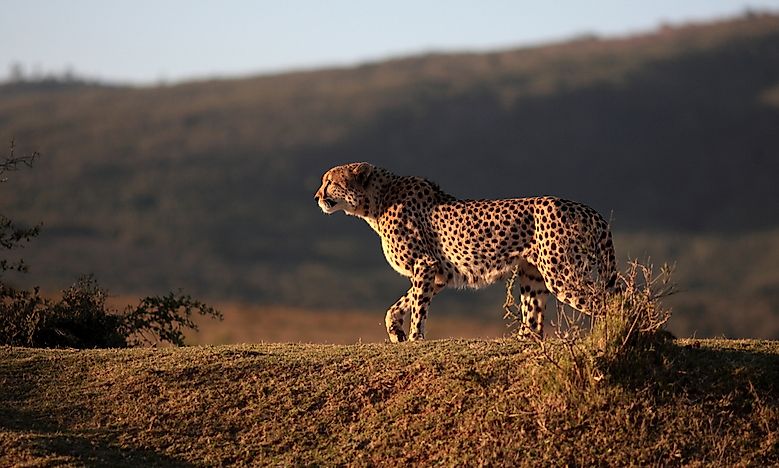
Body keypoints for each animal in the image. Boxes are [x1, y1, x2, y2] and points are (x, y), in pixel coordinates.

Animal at [314, 163, 620, 342]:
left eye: (330, 182)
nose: (317, 197)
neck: (376, 201)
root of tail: (587, 209)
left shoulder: (425, 265)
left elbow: (418, 306)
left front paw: (414, 338)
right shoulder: (436, 274)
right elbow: (400, 304)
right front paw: (396, 332)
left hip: (562, 275)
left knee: (609, 300)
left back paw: (611, 335)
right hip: (533, 275)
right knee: (534, 319)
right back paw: (523, 339)